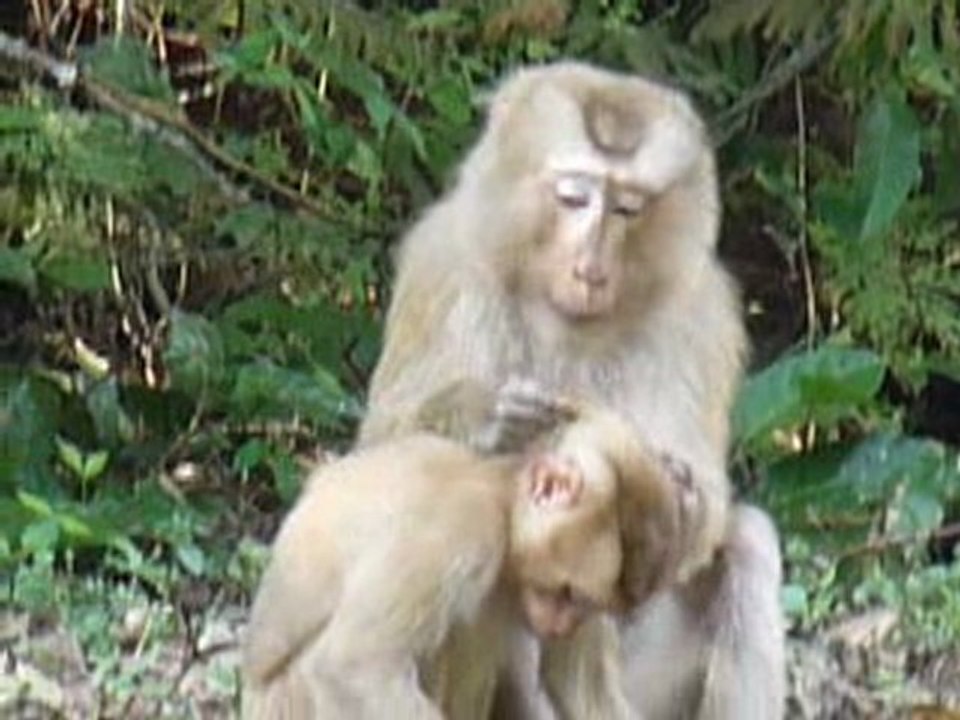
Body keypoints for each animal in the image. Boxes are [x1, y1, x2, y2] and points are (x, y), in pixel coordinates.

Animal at [242, 402, 679, 720]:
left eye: (584, 604)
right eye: (567, 592)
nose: (560, 625)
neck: (499, 496)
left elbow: (581, 691)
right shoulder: (463, 527)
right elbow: (353, 666)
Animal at [357, 61, 786, 719]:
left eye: (628, 208)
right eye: (574, 196)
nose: (590, 264)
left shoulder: (702, 313)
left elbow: (708, 509)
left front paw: (682, 494)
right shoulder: (445, 266)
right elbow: (383, 456)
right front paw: (492, 419)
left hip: (651, 693)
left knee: (747, 545)